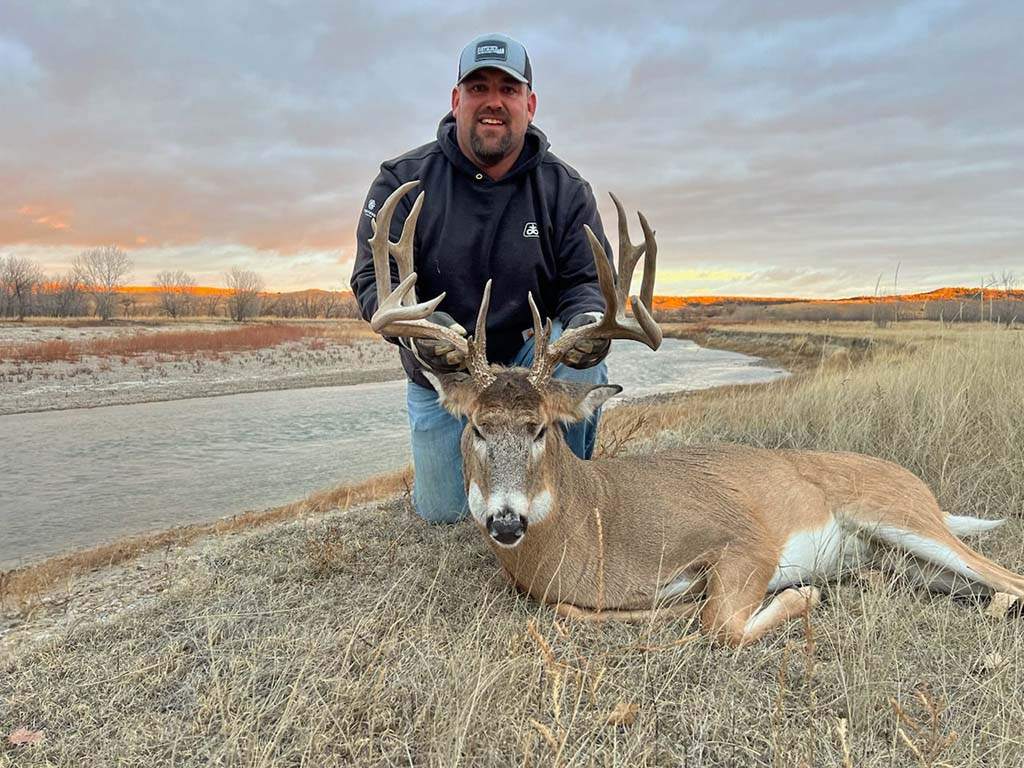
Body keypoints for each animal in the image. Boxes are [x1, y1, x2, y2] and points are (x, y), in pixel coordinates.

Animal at [366, 179, 1024, 647]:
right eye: (477, 426)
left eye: (542, 428)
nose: (505, 521)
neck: (593, 529)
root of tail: (922, 487)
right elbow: (585, 613)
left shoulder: (745, 539)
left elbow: (719, 623)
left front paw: (805, 597)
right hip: (907, 557)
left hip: (901, 517)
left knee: (1008, 580)